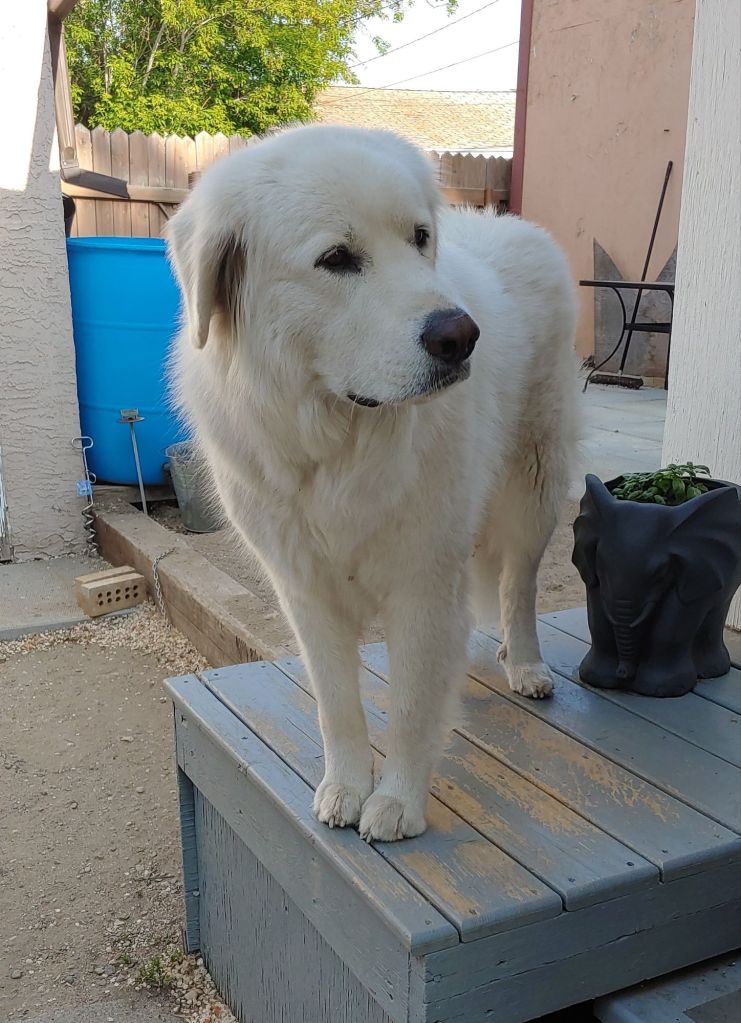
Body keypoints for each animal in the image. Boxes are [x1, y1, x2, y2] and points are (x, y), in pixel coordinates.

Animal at [167, 124, 579, 842]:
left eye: (419, 238)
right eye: (336, 258)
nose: (462, 335)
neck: (339, 441)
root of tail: (513, 224)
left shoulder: (421, 583)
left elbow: (412, 704)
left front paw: (398, 803)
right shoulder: (305, 590)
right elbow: (338, 704)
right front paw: (345, 788)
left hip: (535, 487)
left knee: (518, 584)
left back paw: (524, 663)